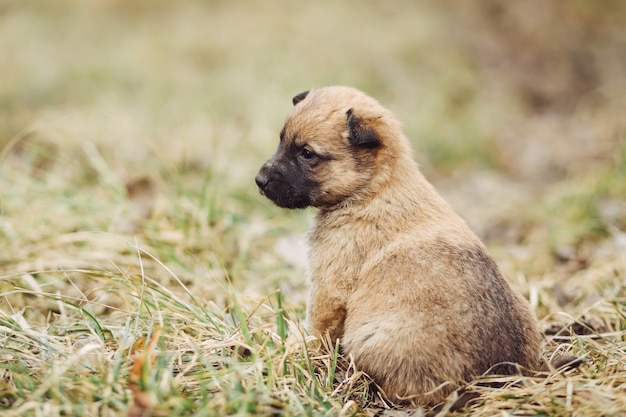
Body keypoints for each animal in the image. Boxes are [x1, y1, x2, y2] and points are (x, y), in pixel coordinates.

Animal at [255, 87, 540, 404]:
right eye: (281, 140)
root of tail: (490, 379)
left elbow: (319, 332)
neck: (373, 188)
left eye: (307, 153)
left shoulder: (329, 290)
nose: (259, 180)